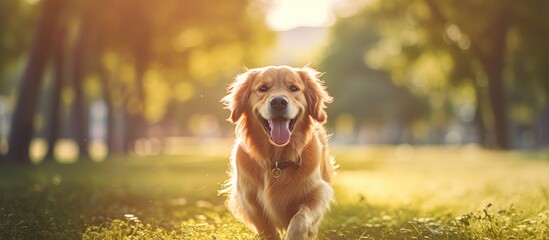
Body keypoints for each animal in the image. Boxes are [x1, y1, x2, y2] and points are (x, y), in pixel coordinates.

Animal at [219, 65, 334, 240]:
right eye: (262, 88)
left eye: (293, 88)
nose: (278, 102)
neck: (277, 160)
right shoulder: (247, 199)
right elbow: (265, 228)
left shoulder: (319, 190)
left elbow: (301, 217)